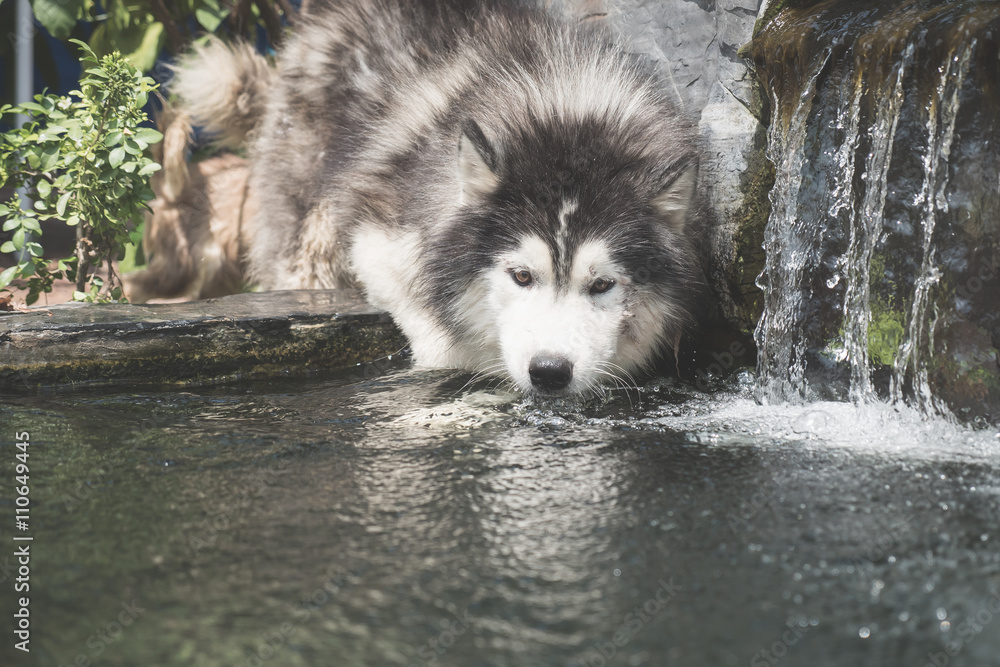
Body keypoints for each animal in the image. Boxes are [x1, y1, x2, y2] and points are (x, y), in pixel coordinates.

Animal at [168, 1, 708, 396]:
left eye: (602, 285)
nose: (549, 372)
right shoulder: (378, 236)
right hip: (311, 237)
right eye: (521, 276)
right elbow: (439, 339)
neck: (563, 112)